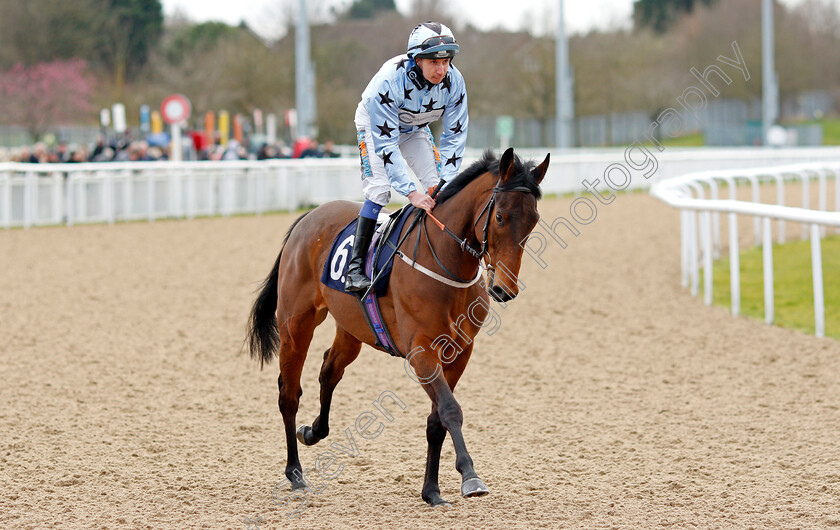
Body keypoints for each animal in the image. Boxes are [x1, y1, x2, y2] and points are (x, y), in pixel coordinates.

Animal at [244, 146, 552, 506]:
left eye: (534, 220)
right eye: (500, 217)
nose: (505, 289)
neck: (446, 264)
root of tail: (308, 217)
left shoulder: (459, 352)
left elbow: (436, 421)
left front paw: (432, 491)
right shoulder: (421, 351)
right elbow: (450, 410)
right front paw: (470, 476)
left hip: (351, 328)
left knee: (329, 370)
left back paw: (312, 431)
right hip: (297, 322)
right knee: (289, 393)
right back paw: (295, 473)